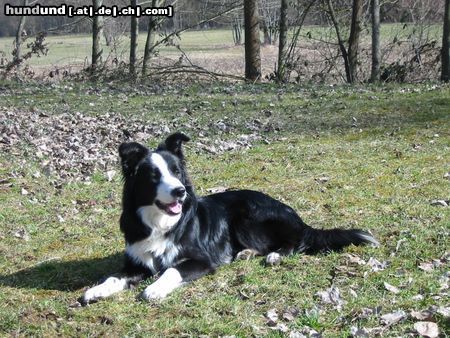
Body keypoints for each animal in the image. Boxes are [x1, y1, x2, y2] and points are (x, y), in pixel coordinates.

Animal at [81, 132, 380, 304]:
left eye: (176, 172)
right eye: (154, 176)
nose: (180, 191)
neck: (160, 222)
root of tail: (294, 215)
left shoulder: (201, 260)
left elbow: (170, 270)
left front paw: (154, 289)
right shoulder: (135, 262)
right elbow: (113, 277)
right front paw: (96, 290)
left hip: (246, 217)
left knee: (295, 241)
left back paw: (275, 254)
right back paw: (246, 253)